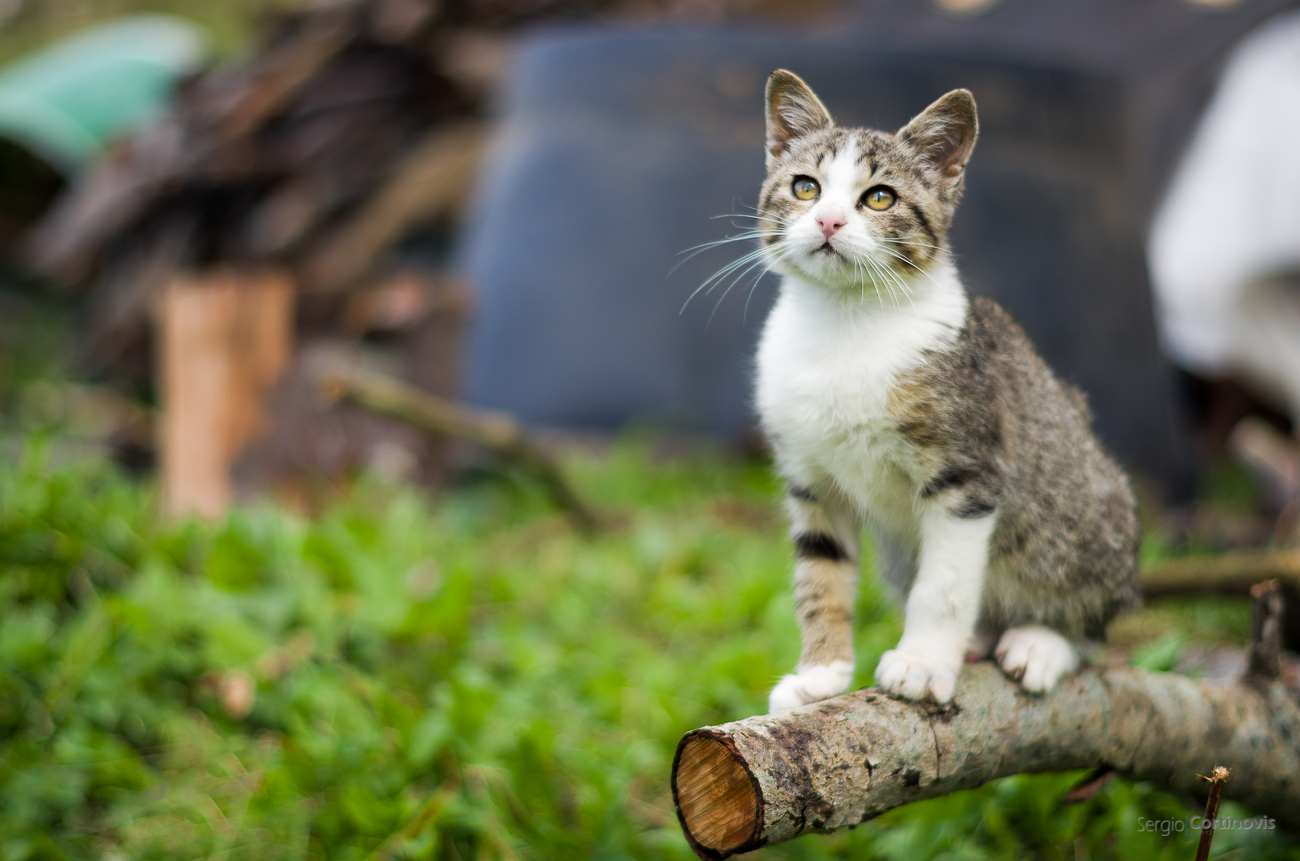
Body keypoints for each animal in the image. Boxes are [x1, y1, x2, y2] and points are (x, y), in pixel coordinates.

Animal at [754, 70, 1138, 712]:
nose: (828, 222)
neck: (845, 322)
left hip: (1087, 515)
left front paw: (922, 663)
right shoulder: (812, 481)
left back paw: (1041, 641)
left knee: (1094, 619)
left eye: (879, 198)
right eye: (805, 188)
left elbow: (944, 583)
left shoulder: (968, 473)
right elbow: (820, 575)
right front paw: (820, 674)